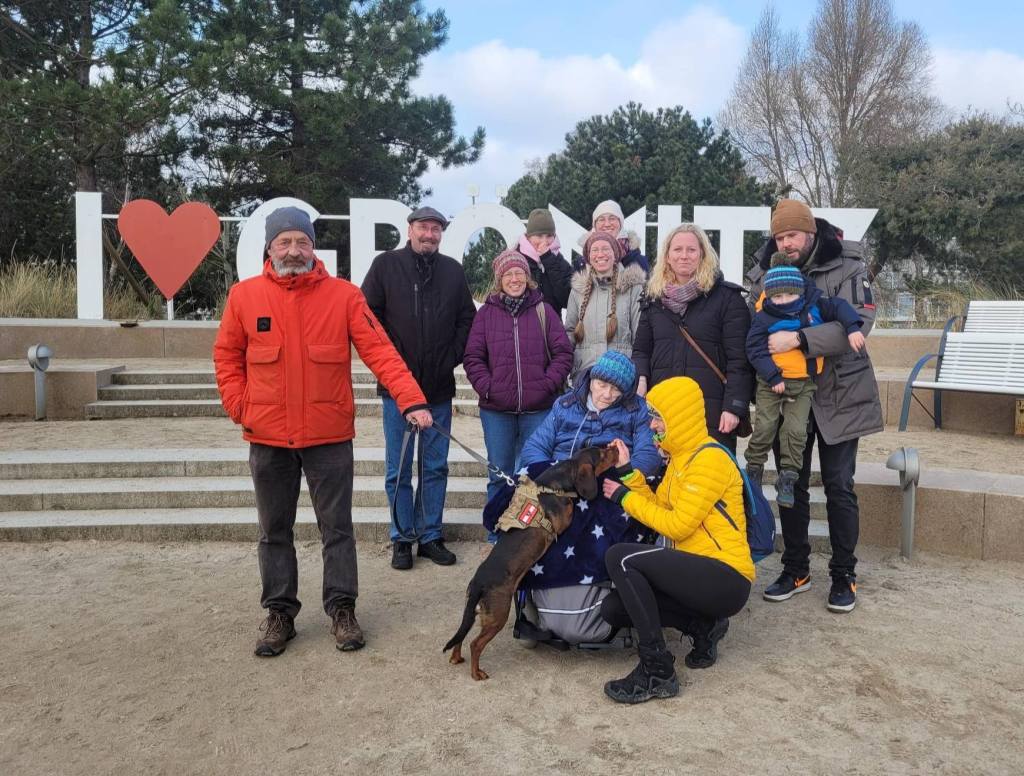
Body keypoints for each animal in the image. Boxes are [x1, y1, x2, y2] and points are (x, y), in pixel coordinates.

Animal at [442, 450, 614, 679]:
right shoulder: (563, 522)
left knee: (461, 636)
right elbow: (569, 507)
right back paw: (477, 673)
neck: (555, 482)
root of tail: (479, 582)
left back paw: (456, 658)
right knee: (475, 644)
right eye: (603, 454)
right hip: (498, 614)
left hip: (473, 613)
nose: (615, 447)